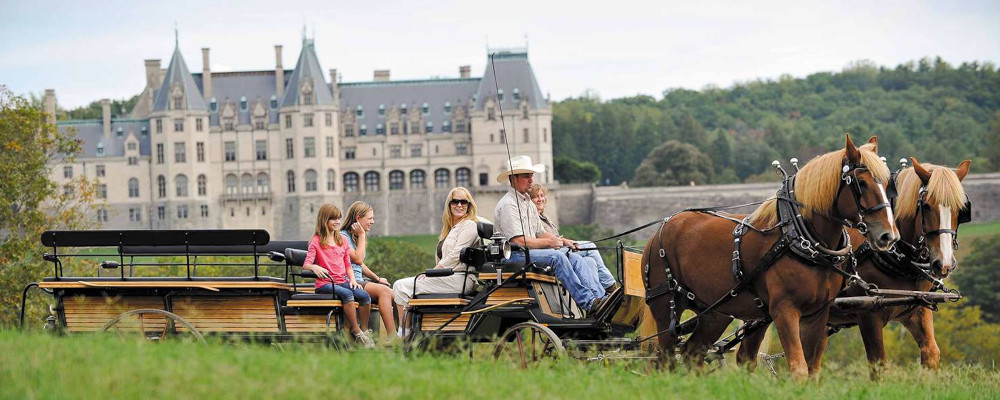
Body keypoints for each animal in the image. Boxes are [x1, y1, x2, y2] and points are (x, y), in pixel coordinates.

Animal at [644, 135, 904, 378]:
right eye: (861, 183)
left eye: (888, 185)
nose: (888, 236)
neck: (801, 237)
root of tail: (661, 229)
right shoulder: (784, 310)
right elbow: (799, 368)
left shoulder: (818, 313)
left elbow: (812, 368)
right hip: (666, 306)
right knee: (664, 359)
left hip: (714, 312)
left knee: (692, 353)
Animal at [736, 156, 968, 372]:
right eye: (926, 206)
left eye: (961, 209)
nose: (944, 264)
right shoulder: (869, 314)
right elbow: (878, 363)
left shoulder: (917, 309)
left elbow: (931, 353)